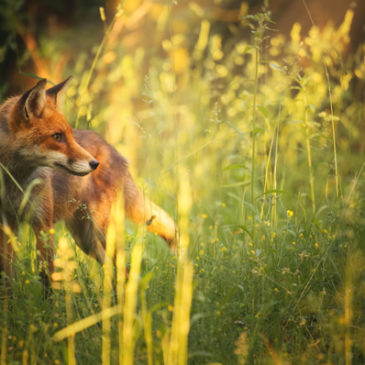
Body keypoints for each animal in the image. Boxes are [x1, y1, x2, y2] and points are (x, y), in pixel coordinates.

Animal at [0, 77, 176, 282]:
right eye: (57, 136)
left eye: (69, 134)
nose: (94, 163)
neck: (14, 182)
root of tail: (113, 150)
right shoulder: (6, 225)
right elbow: (7, 278)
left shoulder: (44, 223)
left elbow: (48, 278)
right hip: (85, 239)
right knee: (110, 271)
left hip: (101, 233)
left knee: (123, 270)